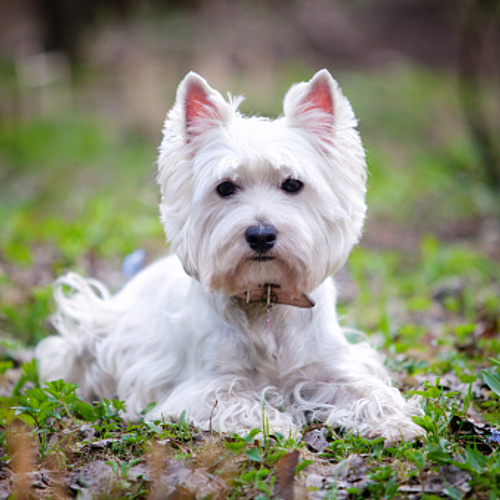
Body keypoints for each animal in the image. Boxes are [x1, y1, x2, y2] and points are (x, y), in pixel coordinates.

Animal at [37, 70, 424, 442]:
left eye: (293, 184)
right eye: (224, 187)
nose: (261, 234)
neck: (266, 301)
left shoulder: (331, 368)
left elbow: (372, 391)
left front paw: (395, 424)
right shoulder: (203, 385)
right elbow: (234, 400)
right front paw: (275, 424)